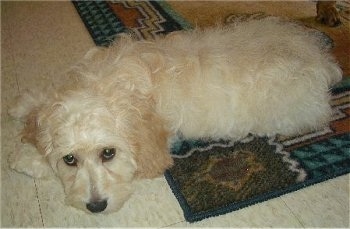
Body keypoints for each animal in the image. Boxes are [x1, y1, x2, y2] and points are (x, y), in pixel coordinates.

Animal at [8, 17, 342, 214]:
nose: (96, 206)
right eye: (70, 159)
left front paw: (23, 159)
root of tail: (322, 60)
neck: (110, 85)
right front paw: (21, 106)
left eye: (108, 153)